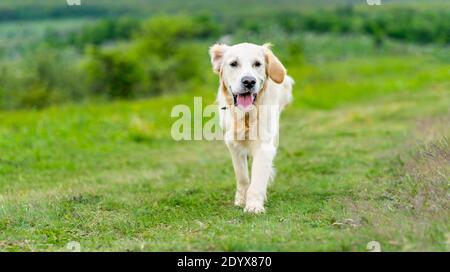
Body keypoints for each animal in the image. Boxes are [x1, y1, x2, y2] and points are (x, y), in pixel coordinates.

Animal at [209, 43, 294, 212]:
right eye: (234, 63)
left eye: (257, 64)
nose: (249, 81)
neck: (246, 115)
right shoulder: (233, 144)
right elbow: (242, 176)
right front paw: (241, 200)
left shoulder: (264, 146)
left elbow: (258, 178)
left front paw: (254, 206)